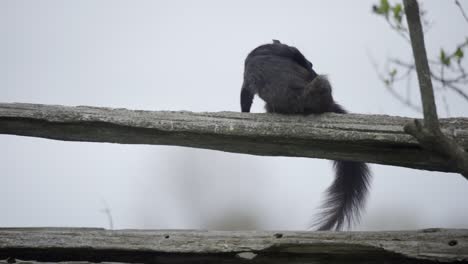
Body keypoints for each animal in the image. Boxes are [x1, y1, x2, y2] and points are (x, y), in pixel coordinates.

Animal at [239, 39, 372, 231]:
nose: (312, 64)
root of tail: (299, 99)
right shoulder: (289, 51)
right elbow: (300, 57)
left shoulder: (247, 80)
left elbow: (245, 97)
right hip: (322, 84)